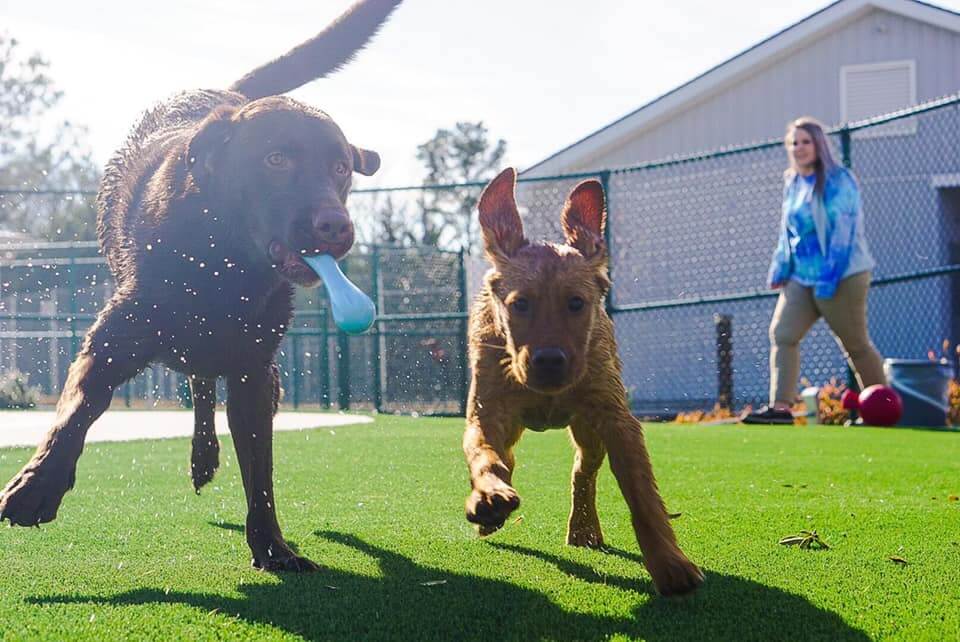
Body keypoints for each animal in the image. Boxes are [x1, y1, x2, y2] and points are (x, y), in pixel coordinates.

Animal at [0, 0, 402, 568]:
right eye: (276, 159)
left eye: (341, 168)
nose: (336, 227)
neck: (224, 267)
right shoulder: (111, 340)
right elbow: (78, 409)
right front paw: (39, 485)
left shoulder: (253, 373)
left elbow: (260, 469)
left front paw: (272, 546)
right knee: (195, 379)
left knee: (207, 385)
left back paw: (206, 456)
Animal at [464, 168, 704, 592]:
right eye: (519, 304)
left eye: (576, 303)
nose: (549, 362)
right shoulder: (486, 412)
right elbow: (484, 455)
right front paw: (489, 495)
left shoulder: (617, 420)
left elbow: (642, 496)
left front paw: (669, 562)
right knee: (509, 456)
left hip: (588, 429)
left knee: (583, 471)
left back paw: (584, 529)